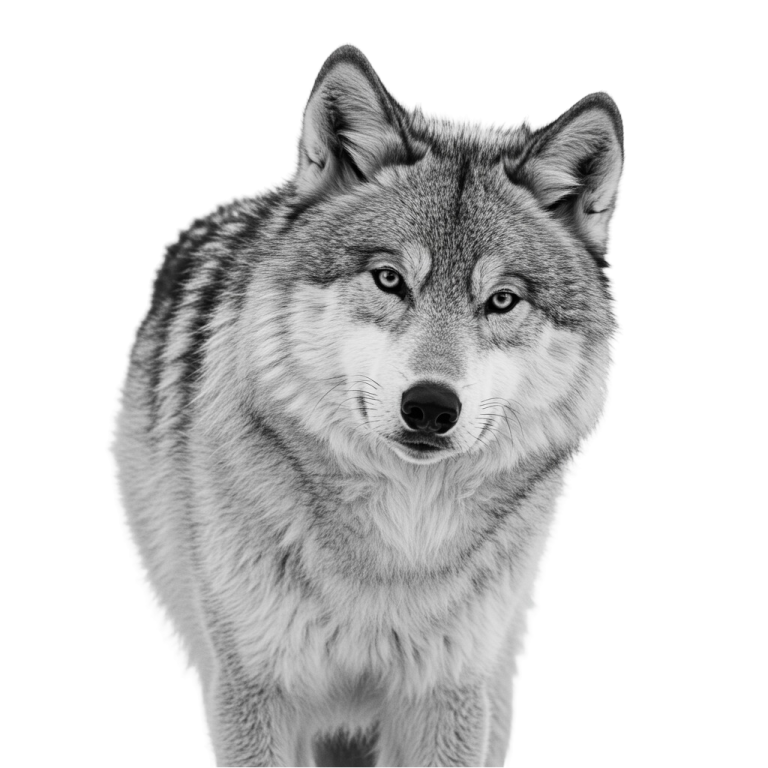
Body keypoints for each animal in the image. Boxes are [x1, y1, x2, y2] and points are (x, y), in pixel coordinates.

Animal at [107, 42, 625, 768]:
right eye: (389, 279)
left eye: (501, 300)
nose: (431, 407)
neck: (394, 553)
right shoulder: (252, 691)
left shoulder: (448, 698)